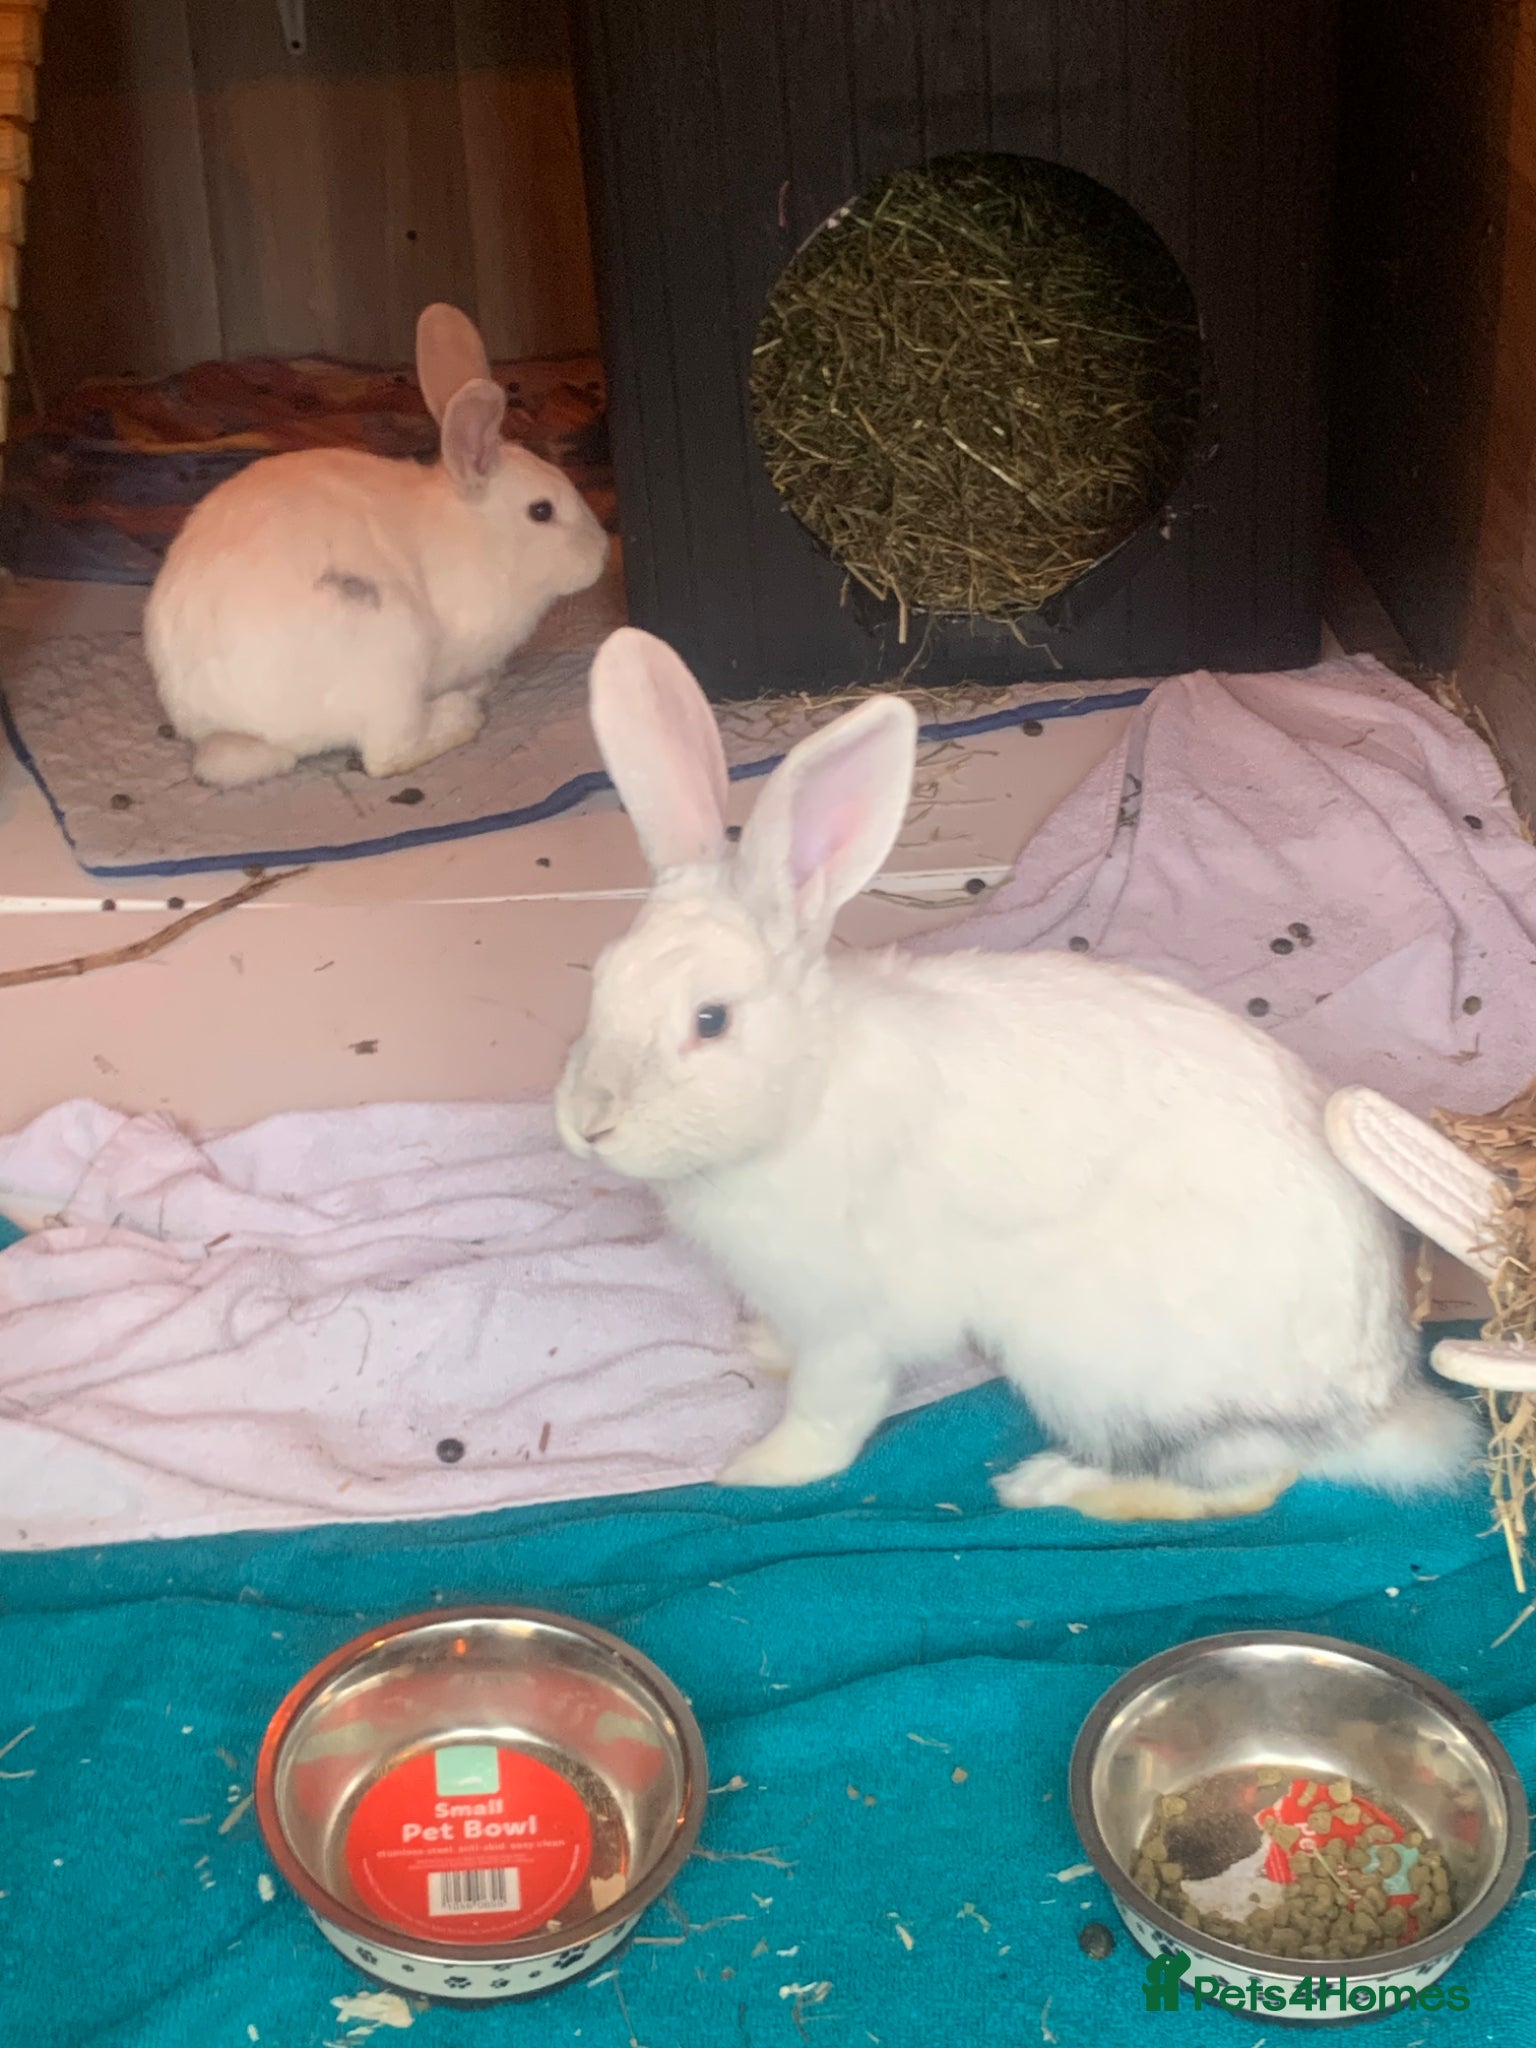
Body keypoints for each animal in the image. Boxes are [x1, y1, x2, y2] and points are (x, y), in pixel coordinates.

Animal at [144, 304, 609, 788]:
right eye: (541, 511)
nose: (600, 553)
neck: (477, 535)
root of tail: (228, 728)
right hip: (391, 654)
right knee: (387, 756)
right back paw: (461, 715)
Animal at [554, 627, 1481, 1521]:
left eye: (710, 1021)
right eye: (602, 979)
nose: (587, 1125)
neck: (806, 1091)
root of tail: (1376, 1414)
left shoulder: (854, 1322)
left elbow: (830, 1413)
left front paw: (757, 1470)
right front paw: (757, 1348)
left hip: (1094, 1368)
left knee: (1244, 1482)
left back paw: (1049, 1486)